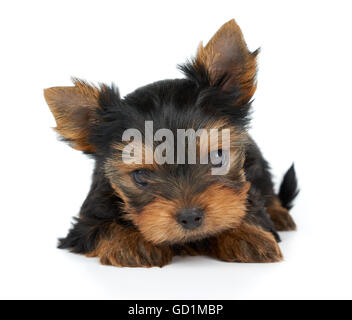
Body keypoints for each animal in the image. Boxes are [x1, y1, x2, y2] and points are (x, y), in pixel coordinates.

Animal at [43, 18, 296, 266]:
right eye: (141, 175)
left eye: (218, 157)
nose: (190, 217)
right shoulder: (85, 223)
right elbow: (101, 227)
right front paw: (130, 242)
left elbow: (246, 205)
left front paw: (246, 234)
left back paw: (279, 213)